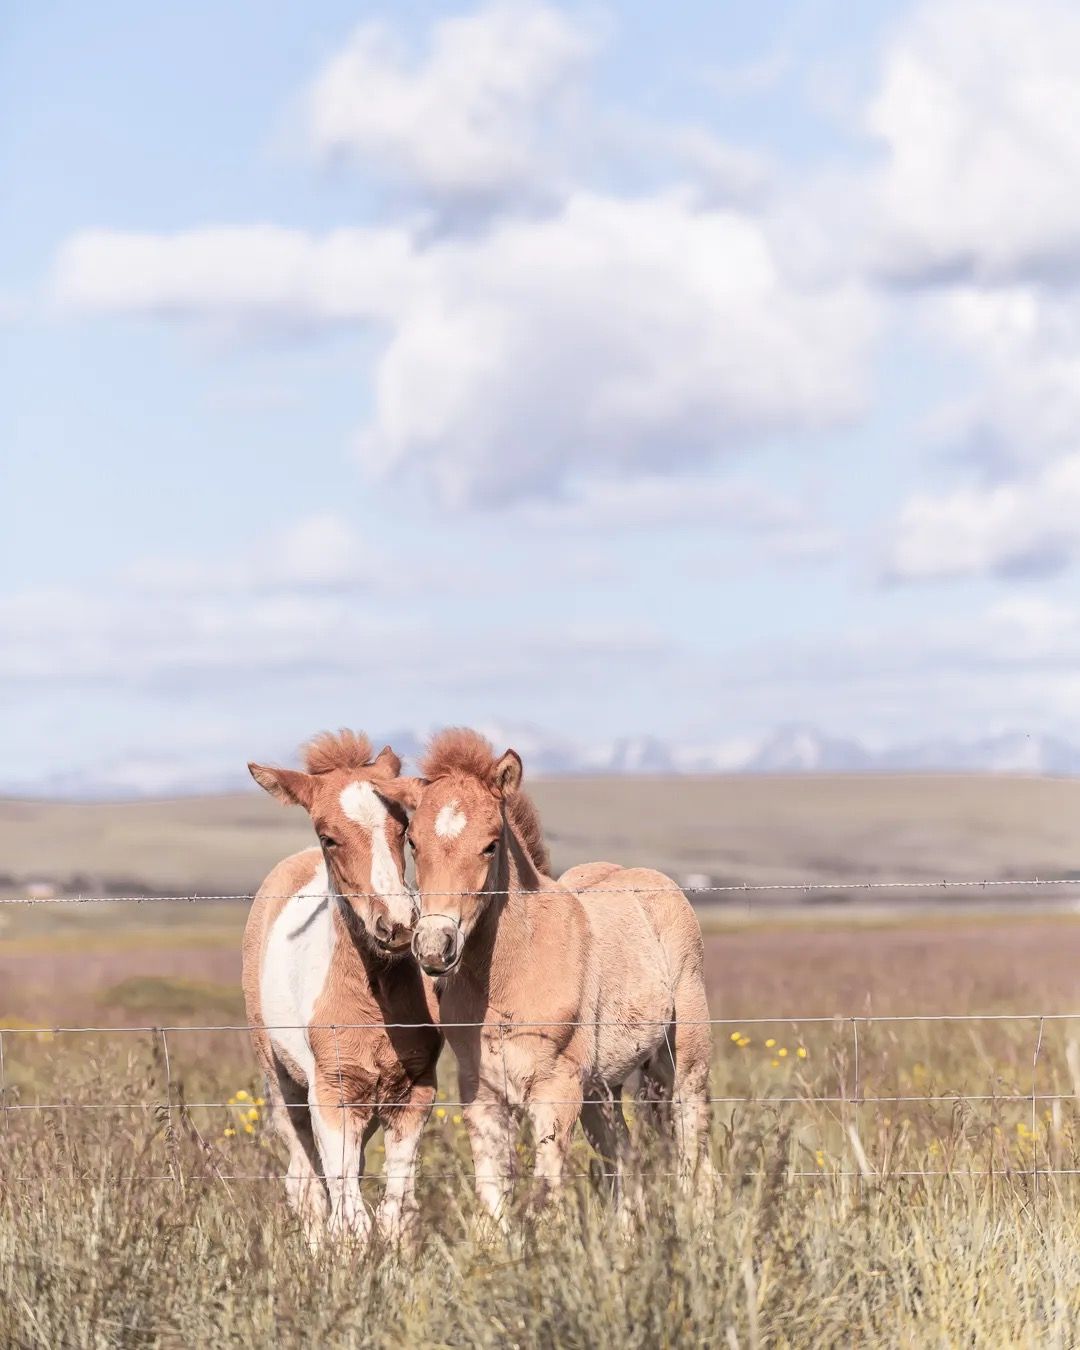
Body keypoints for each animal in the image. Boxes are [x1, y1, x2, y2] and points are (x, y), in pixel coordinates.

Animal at [242, 731, 441, 1246]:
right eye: (328, 837)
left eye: (404, 829)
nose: (397, 925)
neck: (375, 1002)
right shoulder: (330, 1094)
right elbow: (349, 1215)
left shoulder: (415, 1091)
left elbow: (394, 1212)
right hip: (285, 1087)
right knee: (305, 1182)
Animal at [395, 727, 712, 1224]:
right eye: (413, 843)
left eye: (490, 844)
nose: (433, 946)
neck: (512, 976)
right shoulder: (483, 1097)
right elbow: (494, 1204)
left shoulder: (555, 1093)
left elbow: (546, 1198)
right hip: (603, 1088)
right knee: (623, 1159)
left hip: (684, 1064)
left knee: (694, 1154)